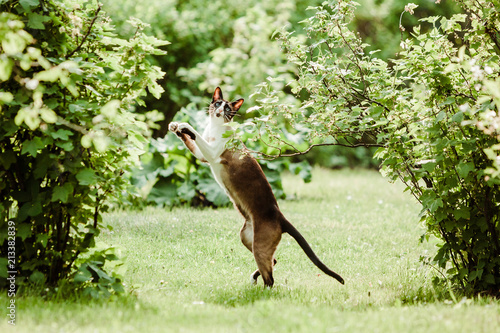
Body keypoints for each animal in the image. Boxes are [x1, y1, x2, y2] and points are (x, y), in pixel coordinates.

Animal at [168, 87, 344, 286]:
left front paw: (183, 125)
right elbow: (189, 139)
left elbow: (194, 133)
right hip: (246, 238)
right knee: (273, 261)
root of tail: (280, 217)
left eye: (227, 108)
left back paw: (259, 290)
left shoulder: (211, 154)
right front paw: (174, 126)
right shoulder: (201, 155)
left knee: (270, 278)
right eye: (217, 103)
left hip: (259, 247)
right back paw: (253, 280)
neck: (215, 126)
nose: (219, 110)